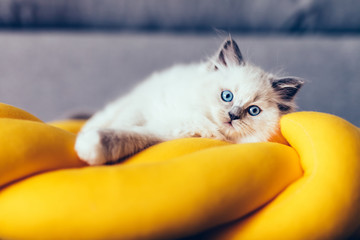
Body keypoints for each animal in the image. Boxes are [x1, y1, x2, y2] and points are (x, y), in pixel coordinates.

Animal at [74, 37, 302, 166]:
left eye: (253, 111)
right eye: (227, 96)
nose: (233, 115)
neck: (197, 118)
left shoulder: (163, 135)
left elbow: (125, 135)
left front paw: (90, 147)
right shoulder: (144, 108)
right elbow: (123, 124)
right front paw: (84, 141)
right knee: (104, 116)